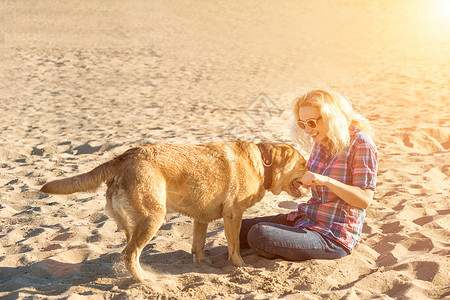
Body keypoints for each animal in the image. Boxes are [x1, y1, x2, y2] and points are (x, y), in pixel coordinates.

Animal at [40, 141, 308, 282]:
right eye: (304, 164)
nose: (313, 171)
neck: (263, 162)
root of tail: (123, 158)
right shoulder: (233, 215)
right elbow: (233, 247)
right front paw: (240, 266)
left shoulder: (201, 219)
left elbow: (198, 246)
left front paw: (204, 266)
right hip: (152, 218)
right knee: (129, 254)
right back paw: (146, 281)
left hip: (133, 223)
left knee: (128, 252)